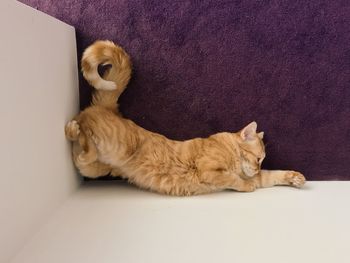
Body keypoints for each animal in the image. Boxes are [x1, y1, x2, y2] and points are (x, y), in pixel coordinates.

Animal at [65, 40, 304, 196]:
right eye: (258, 158)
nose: (257, 168)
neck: (231, 150)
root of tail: (112, 109)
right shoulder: (209, 170)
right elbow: (233, 179)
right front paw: (247, 186)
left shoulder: (255, 175)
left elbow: (271, 175)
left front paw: (294, 177)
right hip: (117, 145)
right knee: (82, 131)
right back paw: (73, 127)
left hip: (96, 169)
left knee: (79, 154)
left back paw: (74, 133)